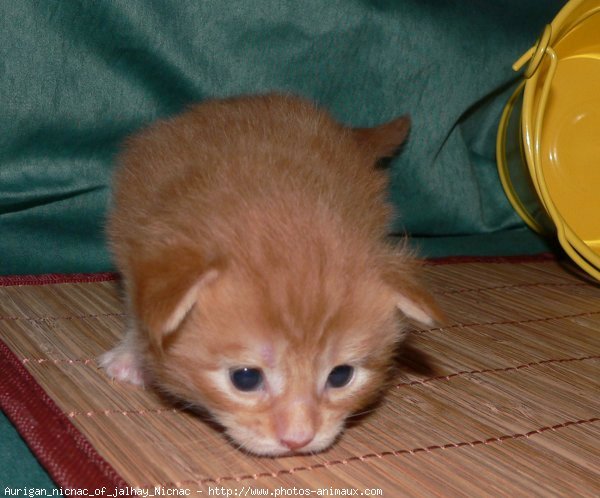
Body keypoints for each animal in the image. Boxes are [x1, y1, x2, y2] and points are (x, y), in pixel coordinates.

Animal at [101, 93, 442, 456]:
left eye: (340, 376)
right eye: (246, 378)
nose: (297, 439)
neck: (280, 206)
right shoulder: (136, 242)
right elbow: (137, 305)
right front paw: (132, 354)